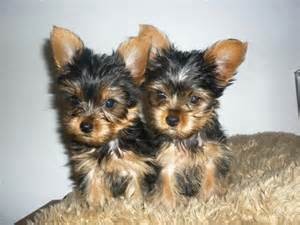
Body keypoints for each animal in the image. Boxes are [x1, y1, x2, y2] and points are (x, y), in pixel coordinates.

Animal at [49, 26, 157, 207]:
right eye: (74, 99)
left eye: (110, 103)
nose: (85, 126)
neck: (106, 143)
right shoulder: (90, 168)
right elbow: (94, 191)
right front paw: (95, 208)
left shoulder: (137, 165)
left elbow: (136, 191)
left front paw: (134, 207)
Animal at [137, 25, 247, 207]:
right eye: (161, 95)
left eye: (194, 99)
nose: (171, 119)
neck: (186, 138)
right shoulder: (165, 159)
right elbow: (166, 183)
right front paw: (167, 205)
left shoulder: (212, 156)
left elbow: (210, 179)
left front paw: (209, 200)